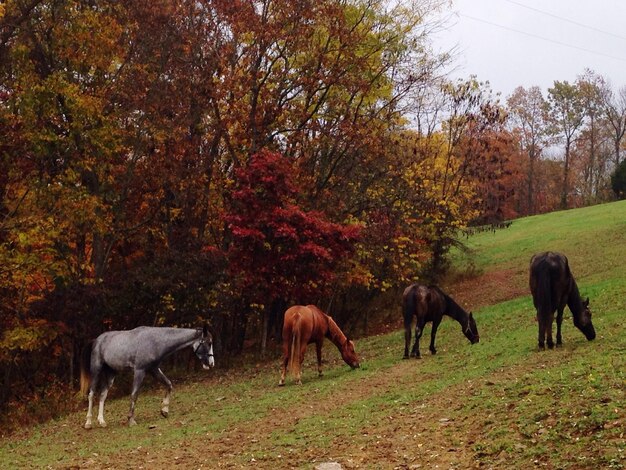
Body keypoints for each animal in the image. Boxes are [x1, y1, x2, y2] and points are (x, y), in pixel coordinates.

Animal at [79, 324, 212, 428]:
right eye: (208, 343)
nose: (211, 363)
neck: (155, 341)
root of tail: (96, 340)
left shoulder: (154, 369)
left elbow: (169, 385)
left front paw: (164, 410)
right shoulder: (140, 371)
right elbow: (134, 394)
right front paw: (131, 420)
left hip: (111, 374)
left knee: (102, 395)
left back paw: (102, 421)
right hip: (96, 371)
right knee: (91, 394)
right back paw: (88, 423)